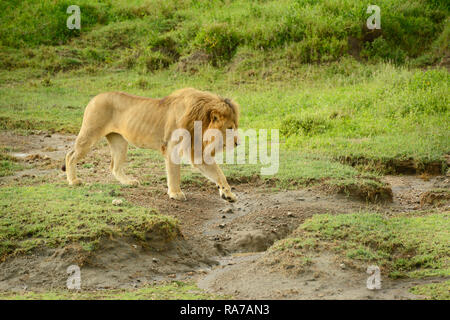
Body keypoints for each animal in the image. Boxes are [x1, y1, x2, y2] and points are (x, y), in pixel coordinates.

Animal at [62, 87, 241, 202]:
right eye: (229, 128)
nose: (238, 143)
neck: (199, 120)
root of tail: (95, 97)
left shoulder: (197, 152)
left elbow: (218, 174)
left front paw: (228, 194)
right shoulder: (172, 148)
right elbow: (174, 174)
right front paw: (175, 193)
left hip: (119, 142)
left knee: (114, 166)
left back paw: (129, 182)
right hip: (90, 133)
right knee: (70, 155)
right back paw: (74, 181)